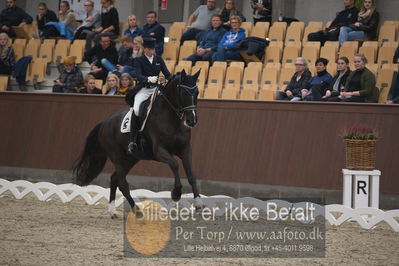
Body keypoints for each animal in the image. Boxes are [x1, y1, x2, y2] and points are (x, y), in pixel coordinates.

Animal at [73, 70, 202, 218]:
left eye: (197, 92)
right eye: (184, 93)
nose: (192, 121)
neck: (171, 119)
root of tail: (105, 123)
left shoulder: (185, 149)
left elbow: (191, 174)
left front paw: (198, 203)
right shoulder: (160, 151)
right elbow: (175, 165)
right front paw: (176, 193)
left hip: (131, 159)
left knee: (114, 179)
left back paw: (113, 211)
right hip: (117, 156)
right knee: (123, 184)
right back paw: (137, 211)